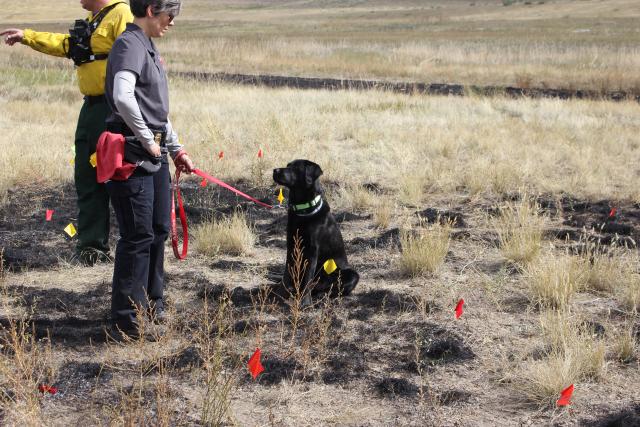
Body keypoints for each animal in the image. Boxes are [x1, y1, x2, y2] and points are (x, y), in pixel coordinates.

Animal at [272, 159, 358, 302]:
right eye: (288, 165)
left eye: (296, 168)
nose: (275, 170)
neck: (303, 210)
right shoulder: (291, 246)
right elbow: (287, 274)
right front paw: (279, 294)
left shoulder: (312, 251)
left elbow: (307, 279)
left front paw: (305, 302)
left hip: (352, 274)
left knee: (333, 289)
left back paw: (322, 295)